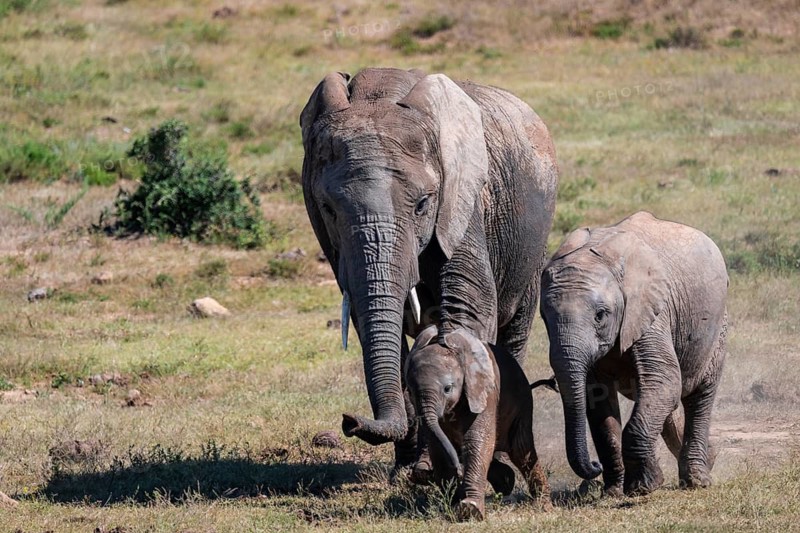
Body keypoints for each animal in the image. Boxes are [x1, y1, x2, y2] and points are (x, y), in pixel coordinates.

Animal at [300, 67, 558, 467]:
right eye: (328, 209)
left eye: (423, 204)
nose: (349, 421)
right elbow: (370, 322)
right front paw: (411, 468)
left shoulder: (461, 197)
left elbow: (470, 305)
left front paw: (436, 465)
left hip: (532, 247)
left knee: (514, 330)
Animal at [404, 325, 552, 521]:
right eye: (410, 391)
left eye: (447, 389)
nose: (458, 470)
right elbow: (438, 445)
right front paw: (452, 505)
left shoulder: (485, 392)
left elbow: (477, 440)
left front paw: (469, 509)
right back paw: (506, 482)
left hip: (523, 403)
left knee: (520, 450)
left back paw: (544, 505)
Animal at [540, 211, 728, 496]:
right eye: (544, 319)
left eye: (600, 315)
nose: (593, 467)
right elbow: (598, 397)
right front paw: (613, 491)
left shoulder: (652, 311)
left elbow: (664, 379)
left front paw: (643, 486)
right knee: (666, 399)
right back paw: (710, 457)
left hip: (717, 325)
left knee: (698, 393)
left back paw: (697, 479)